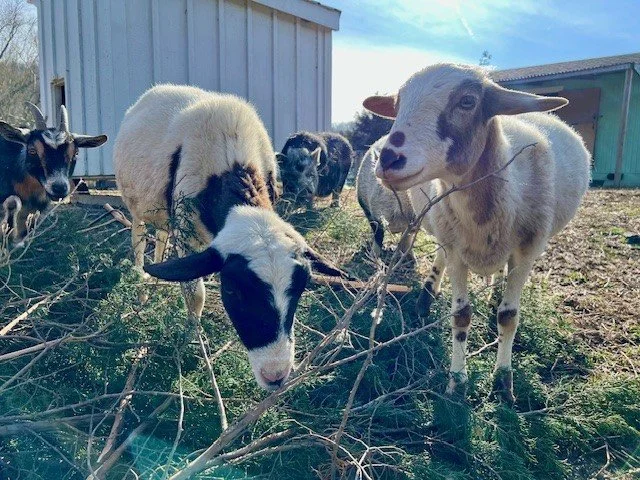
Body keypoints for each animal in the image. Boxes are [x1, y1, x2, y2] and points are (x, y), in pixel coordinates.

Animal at [114, 84, 349, 391]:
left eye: (300, 288)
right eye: (232, 291)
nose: (275, 376)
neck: (233, 164)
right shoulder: (186, 233)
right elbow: (195, 295)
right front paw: (192, 341)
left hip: (163, 212)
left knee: (162, 237)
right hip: (137, 207)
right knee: (140, 240)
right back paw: (142, 287)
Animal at [363, 63, 590, 402]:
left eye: (467, 102)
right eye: (398, 105)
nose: (389, 159)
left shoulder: (526, 251)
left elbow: (509, 318)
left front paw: (504, 382)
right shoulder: (456, 248)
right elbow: (460, 315)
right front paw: (457, 382)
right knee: (440, 258)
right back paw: (427, 295)